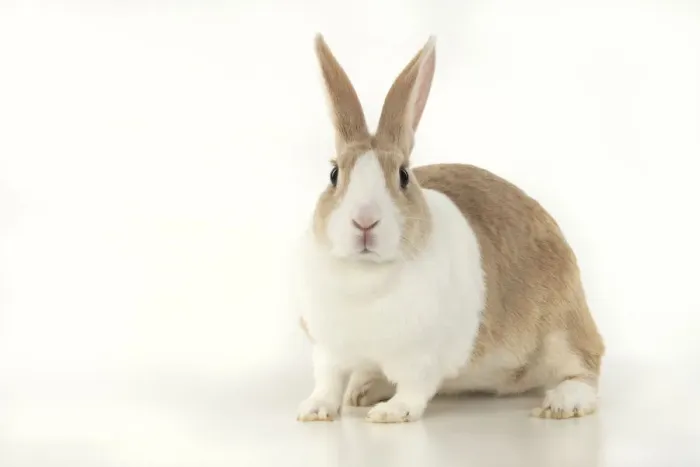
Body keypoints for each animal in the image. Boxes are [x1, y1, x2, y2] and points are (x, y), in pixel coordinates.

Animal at [294, 34, 605, 423]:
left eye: (403, 176)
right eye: (334, 175)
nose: (364, 221)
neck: (366, 276)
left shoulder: (422, 357)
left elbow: (414, 389)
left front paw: (390, 414)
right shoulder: (328, 349)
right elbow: (327, 381)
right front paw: (313, 410)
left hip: (561, 331)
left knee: (587, 366)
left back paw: (563, 403)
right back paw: (362, 391)